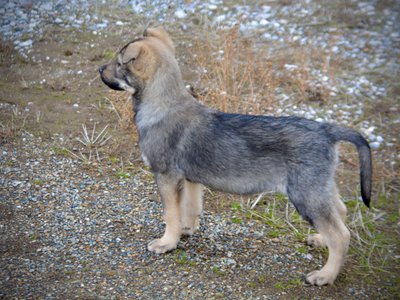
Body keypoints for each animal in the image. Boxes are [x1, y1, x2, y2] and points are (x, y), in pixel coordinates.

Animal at [99, 27, 372, 286]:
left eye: (119, 63)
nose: (100, 69)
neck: (162, 104)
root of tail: (328, 131)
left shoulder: (165, 176)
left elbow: (170, 213)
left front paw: (166, 243)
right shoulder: (190, 179)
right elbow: (190, 208)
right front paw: (186, 230)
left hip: (305, 194)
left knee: (341, 235)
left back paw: (325, 275)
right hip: (319, 188)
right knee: (340, 212)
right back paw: (319, 240)